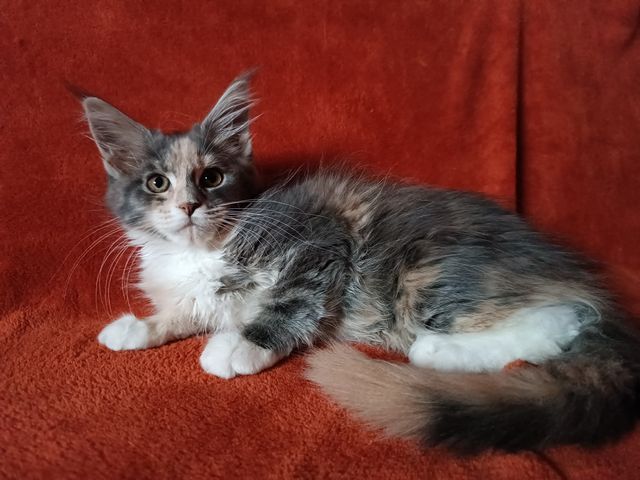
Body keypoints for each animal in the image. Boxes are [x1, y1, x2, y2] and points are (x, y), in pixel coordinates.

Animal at [82, 72, 640, 454]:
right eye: (157, 183)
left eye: (212, 177)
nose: (190, 207)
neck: (202, 250)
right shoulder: (197, 294)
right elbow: (182, 312)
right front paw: (136, 329)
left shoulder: (320, 244)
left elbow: (288, 301)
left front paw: (239, 347)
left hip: (427, 275)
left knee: (557, 319)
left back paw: (436, 351)